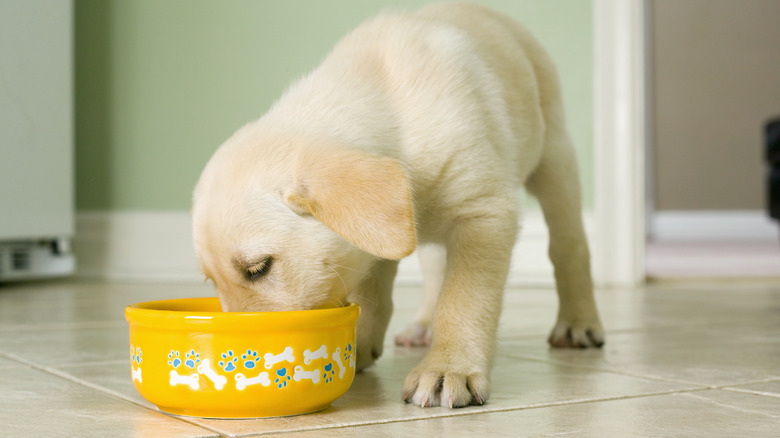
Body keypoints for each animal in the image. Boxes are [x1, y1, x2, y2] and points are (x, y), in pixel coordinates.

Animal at [192, 2, 608, 408]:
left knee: (569, 246)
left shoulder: (484, 213)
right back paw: (423, 326)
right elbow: (374, 290)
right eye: (212, 280)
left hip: (554, 158)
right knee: (437, 268)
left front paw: (448, 368)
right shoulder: (383, 231)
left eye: (258, 268)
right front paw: (358, 346)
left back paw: (578, 322)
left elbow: (465, 297)